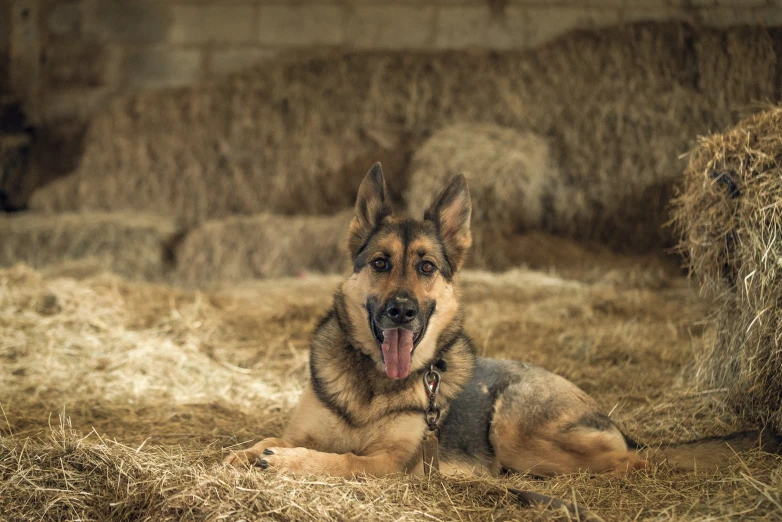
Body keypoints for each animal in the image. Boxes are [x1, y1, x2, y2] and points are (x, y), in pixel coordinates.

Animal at [227, 165, 776, 478]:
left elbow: (338, 459)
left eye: (427, 267)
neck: (374, 382)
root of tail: (611, 420)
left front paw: (290, 463)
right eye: (380, 263)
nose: (401, 311)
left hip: (514, 428)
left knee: (628, 463)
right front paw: (249, 452)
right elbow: (272, 439)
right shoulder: (308, 429)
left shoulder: (388, 464)